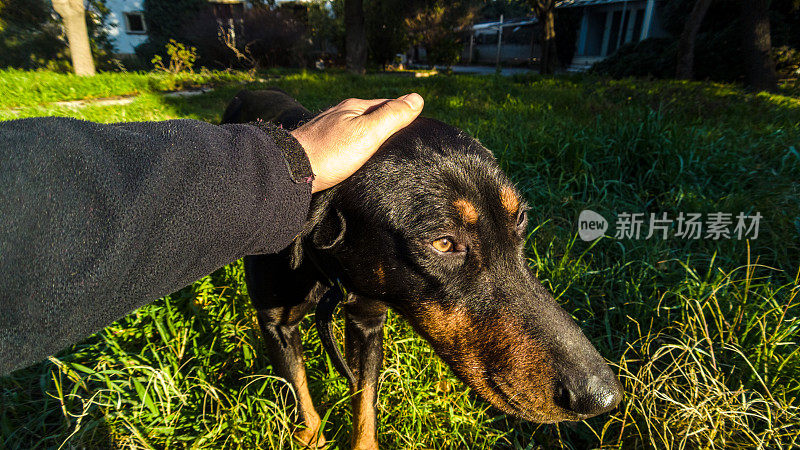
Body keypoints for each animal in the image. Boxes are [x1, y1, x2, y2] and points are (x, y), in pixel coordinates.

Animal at [220, 89, 624, 448]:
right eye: (443, 243)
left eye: (521, 219)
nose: (603, 397)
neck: (331, 274)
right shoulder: (276, 325)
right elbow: (301, 395)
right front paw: (312, 438)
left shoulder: (368, 322)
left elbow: (365, 406)